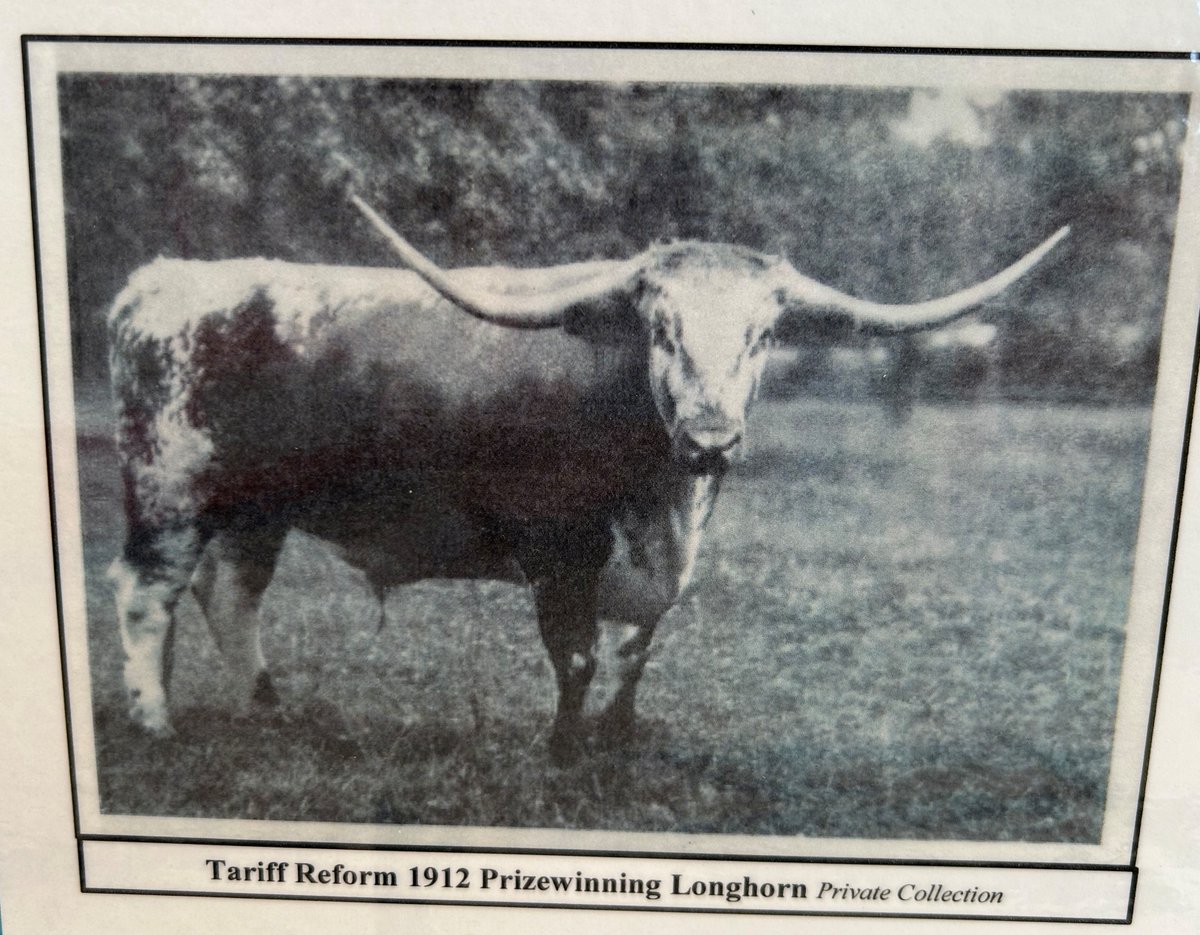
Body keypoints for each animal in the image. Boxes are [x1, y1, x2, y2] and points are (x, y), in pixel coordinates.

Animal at [107, 196, 1067, 762]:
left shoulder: (659, 567)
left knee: (230, 592)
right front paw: (565, 753)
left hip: (252, 506)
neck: (666, 500)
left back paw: (267, 710)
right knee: (147, 594)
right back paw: (154, 721)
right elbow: (577, 654)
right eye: (662, 328)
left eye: (762, 335)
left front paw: (617, 739)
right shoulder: (559, 551)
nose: (712, 438)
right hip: (169, 489)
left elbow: (637, 651)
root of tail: (159, 280)